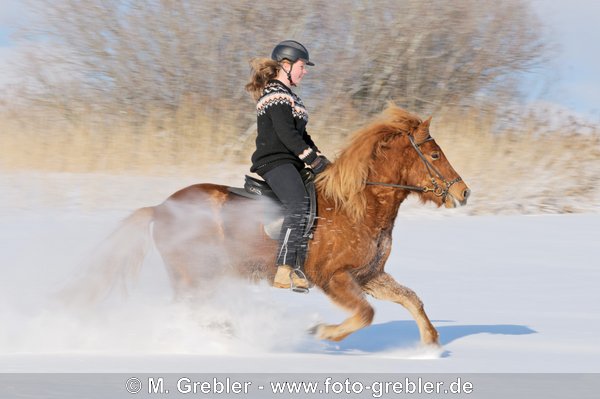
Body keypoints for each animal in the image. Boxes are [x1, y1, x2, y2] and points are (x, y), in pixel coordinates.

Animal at [84, 104, 468, 346]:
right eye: (435, 155)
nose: (463, 192)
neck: (357, 207)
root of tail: (161, 208)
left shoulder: (368, 275)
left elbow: (411, 299)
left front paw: (431, 344)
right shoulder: (332, 277)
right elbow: (365, 313)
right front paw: (321, 333)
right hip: (193, 273)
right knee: (187, 311)